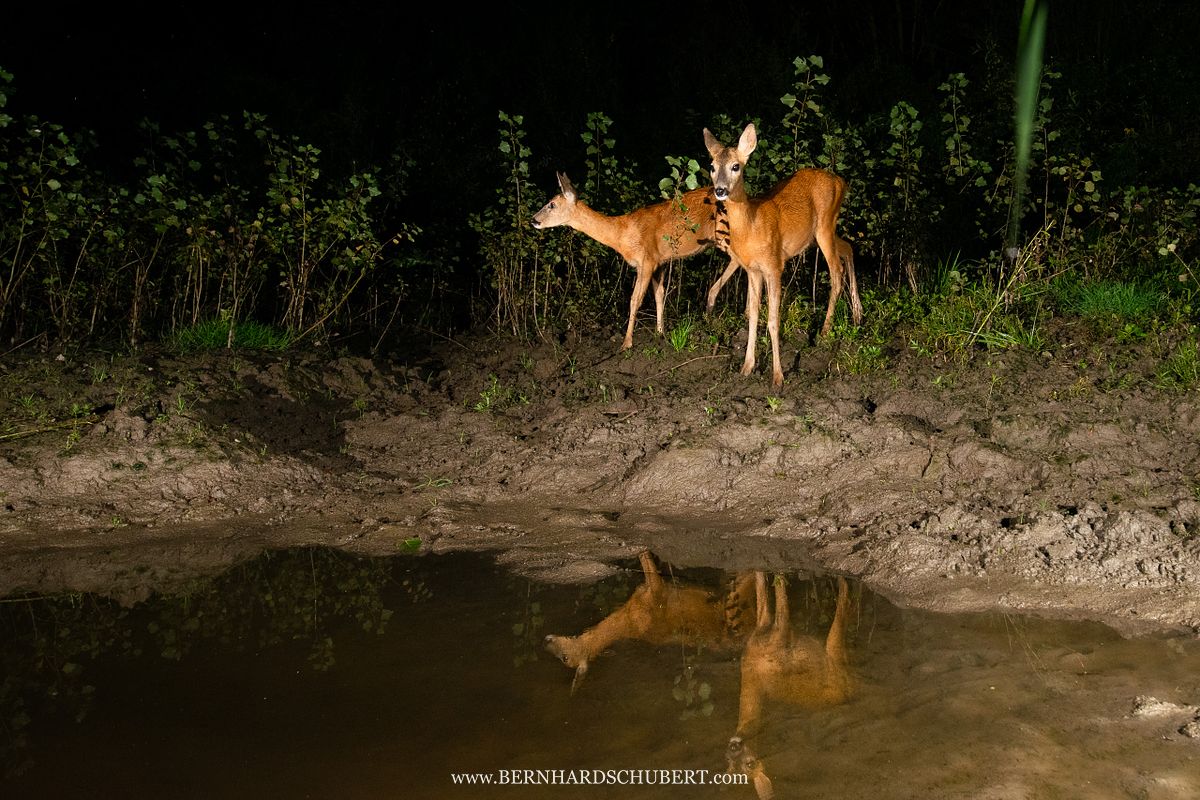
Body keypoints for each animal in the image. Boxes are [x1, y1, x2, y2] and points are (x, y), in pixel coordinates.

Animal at [531, 172, 739, 351]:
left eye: (552, 204)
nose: (533, 220)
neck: (622, 233)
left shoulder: (646, 261)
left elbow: (634, 300)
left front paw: (626, 343)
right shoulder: (659, 261)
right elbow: (659, 294)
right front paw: (660, 334)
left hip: (721, 233)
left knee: (739, 258)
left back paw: (712, 301)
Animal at [544, 550, 757, 694]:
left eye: (564, 658)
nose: (545, 641)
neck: (629, 621)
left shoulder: (655, 592)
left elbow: (647, 562)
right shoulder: (655, 593)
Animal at [703, 123, 864, 387]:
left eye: (736, 166)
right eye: (712, 166)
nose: (720, 190)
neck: (752, 225)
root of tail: (841, 181)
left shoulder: (774, 266)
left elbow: (772, 320)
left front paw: (778, 376)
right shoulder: (752, 270)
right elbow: (753, 316)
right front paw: (747, 367)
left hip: (825, 224)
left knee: (836, 272)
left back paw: (825, 330)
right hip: (820, 233)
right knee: (849, 247)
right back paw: (858, 314)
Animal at [725, 573, 855, 800]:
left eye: (749, 764)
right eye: (731, 761)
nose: (734, 744)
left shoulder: (780, 635)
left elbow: (773, 593)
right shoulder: (770, 631)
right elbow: (767, 593)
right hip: (836, 663)